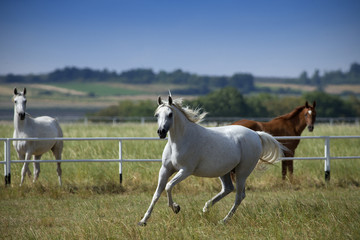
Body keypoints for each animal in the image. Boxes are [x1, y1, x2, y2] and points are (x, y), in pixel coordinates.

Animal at [139, 94, 286, 226]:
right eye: (157, 115)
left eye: (170, 114)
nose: (161, 132)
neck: (180, 141)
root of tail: (256, 134)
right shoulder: (165, 169)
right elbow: (157, 193)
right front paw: (143, 221)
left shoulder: (185, 171)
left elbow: (168, 186)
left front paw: (176, 208)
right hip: (225, 171)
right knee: (228, 189)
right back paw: (206, 208)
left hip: (242, 172)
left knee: (239, 196)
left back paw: (223, 220)